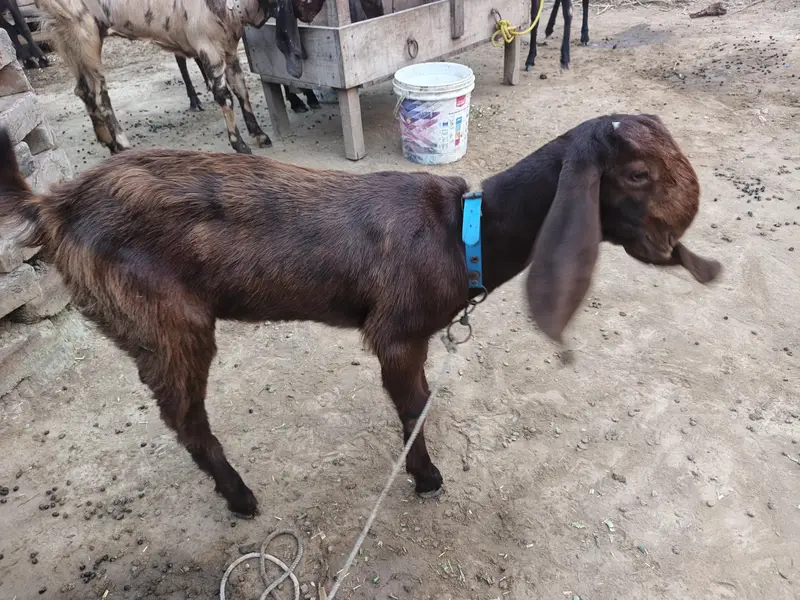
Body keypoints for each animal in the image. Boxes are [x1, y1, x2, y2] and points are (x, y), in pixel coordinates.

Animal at [0, 114, 721, 517]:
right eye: (635, 174)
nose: (676, 240)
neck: (462, 232)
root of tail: (55, 206)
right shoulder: (397, 334)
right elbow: (414, 407)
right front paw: (426, 479)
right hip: (167, 324)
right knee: (187, 421)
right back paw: (242, 499)